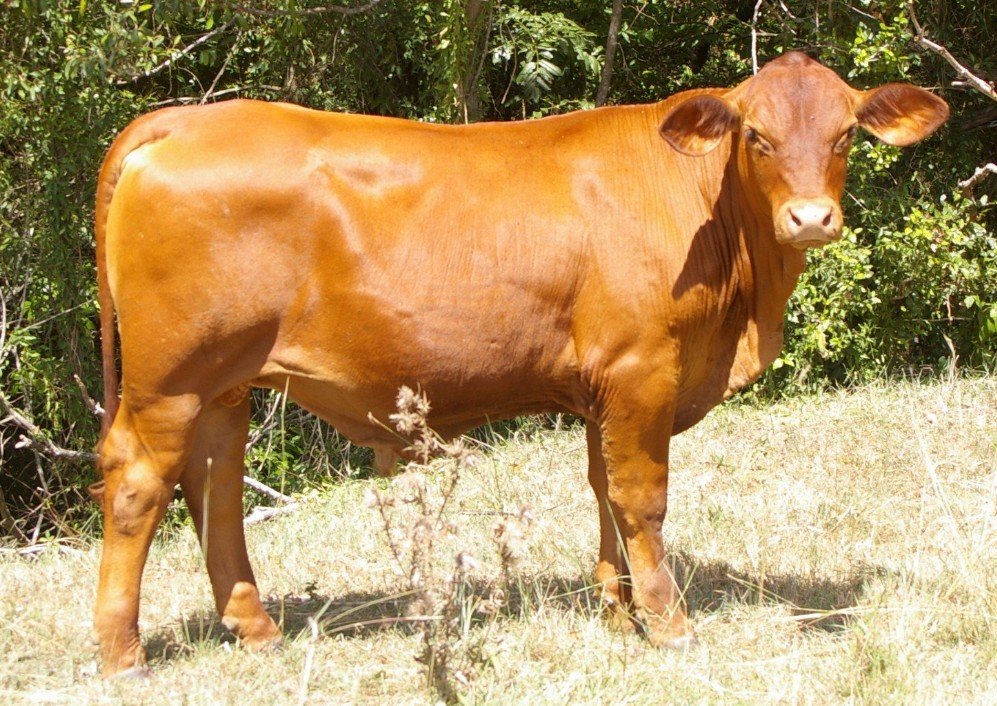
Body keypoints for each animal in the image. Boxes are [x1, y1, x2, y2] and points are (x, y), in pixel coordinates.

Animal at [91, 52, 947, 676]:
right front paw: (668, 624)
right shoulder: (642, 370)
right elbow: (641, 499)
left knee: (215, 485)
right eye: (756, 136)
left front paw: (617, 612)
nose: (810, 219)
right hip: (169, 381)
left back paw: (257, 628)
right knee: (139, 484)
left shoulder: (606, 388)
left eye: (843, 136)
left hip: (223, 383)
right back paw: (122, 655)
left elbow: (603, 491)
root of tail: (185, 119)